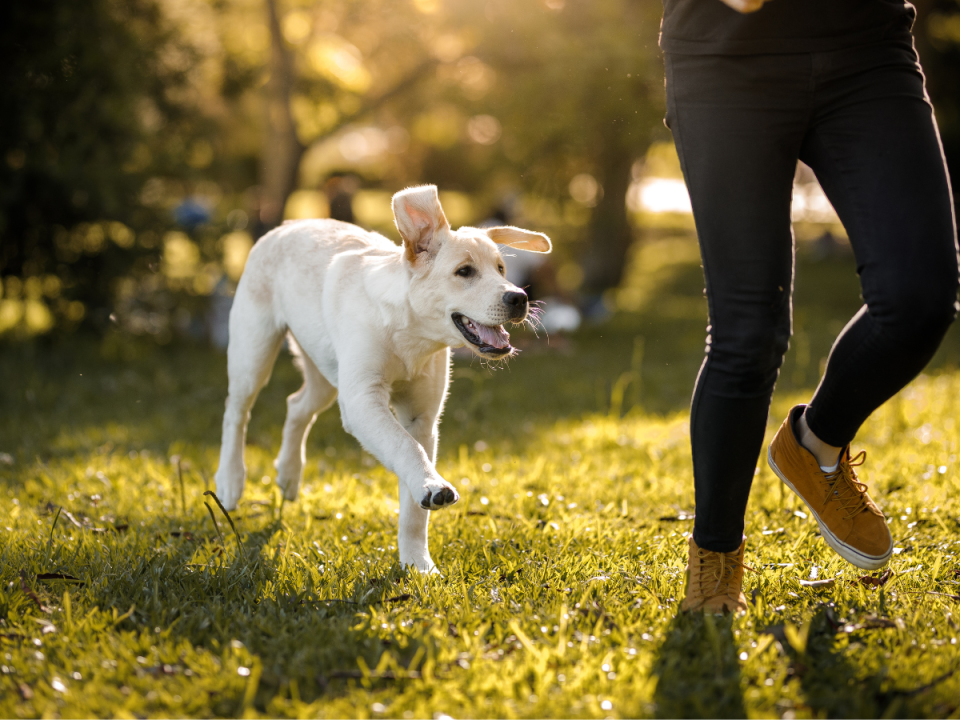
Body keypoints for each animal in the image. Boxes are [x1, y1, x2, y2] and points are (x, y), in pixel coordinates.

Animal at [215, 183, 552, 572]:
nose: (519, 298)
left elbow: (413, 496)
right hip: (253, 350)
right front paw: (431, 488)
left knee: (296, 405)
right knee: (236, 412)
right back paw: (230, 481)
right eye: (465, 271)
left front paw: (418, 563)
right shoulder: (362, 400)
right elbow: (405, 448)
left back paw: (288, 473)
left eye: (500, 268)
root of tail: (287, 224)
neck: (411, 334)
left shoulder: (421, 418)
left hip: (326, 372)